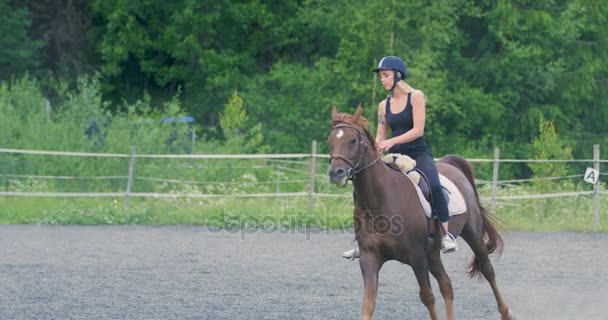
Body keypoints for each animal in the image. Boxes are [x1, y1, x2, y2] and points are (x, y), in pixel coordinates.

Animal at [328, 106, 512, 318]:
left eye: (352, 140)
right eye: (330, 141)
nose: (336, 173)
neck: (379, 201)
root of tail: (450, 165)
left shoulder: (416, 256)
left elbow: (427, 297)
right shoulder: (369, 258)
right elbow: (368, 304)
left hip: (471, 234)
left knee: (488, 271)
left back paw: (505, 312)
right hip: (432, 253)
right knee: (447, 285)